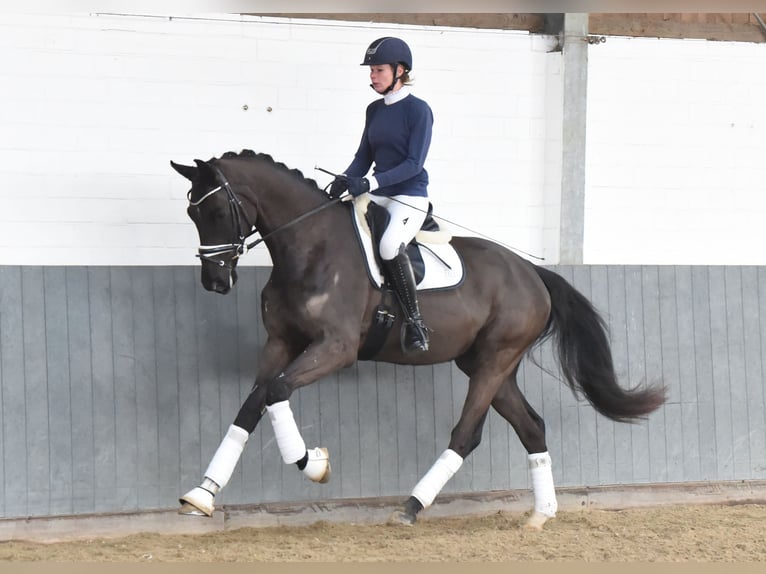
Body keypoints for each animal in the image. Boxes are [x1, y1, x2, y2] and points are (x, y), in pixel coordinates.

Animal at [172, 150, 664, 532]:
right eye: (192, 214)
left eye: (217, 213)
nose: (215, 281)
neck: (311, 248)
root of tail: (531, 272)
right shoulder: (280, 343)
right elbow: (252, 405)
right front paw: (202, 494)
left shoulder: (336, 349)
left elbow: (276, 392)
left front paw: (313, 464)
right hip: (489, 365)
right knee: (531, 427)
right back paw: (541, 514)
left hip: (495, 360)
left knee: (466, 434)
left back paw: (410, 507)